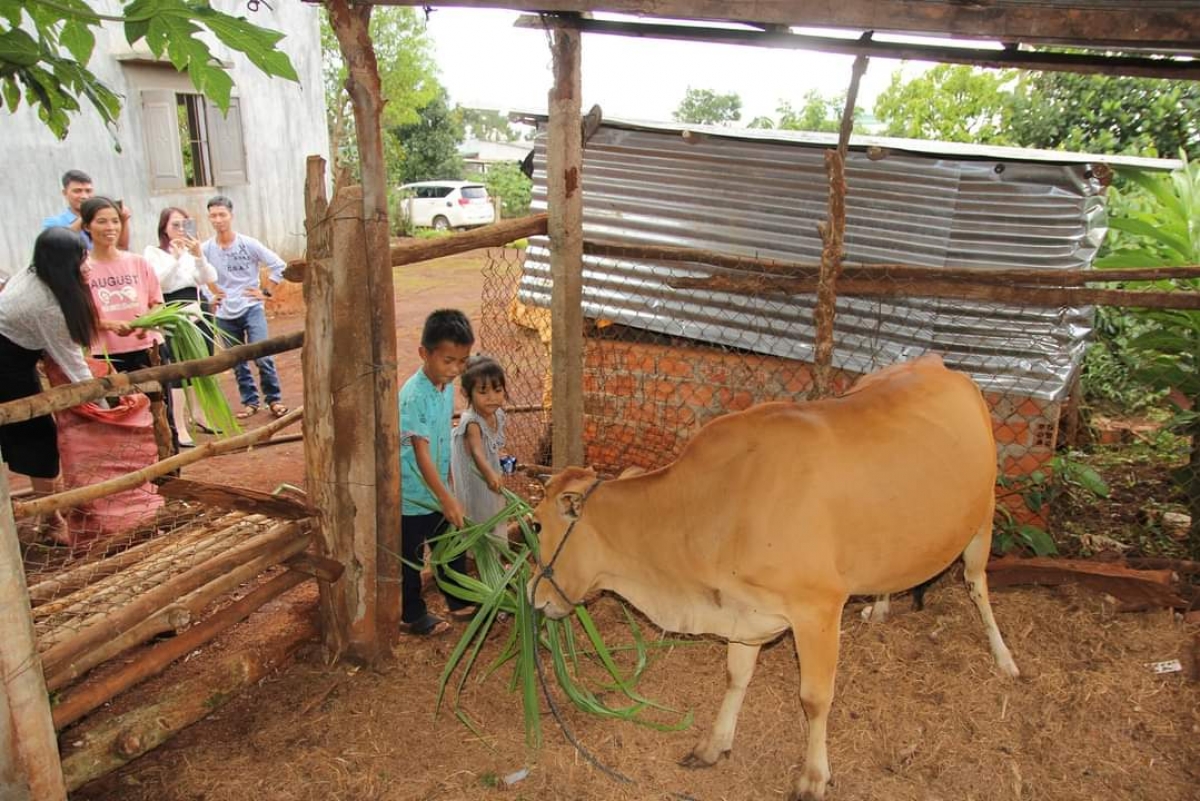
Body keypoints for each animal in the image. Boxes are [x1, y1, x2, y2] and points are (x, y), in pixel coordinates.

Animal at [530, 357, 1017, 801]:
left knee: (977, 585)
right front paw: (714, 744)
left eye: (534, 524)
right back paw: (880, 606)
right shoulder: (742, 609)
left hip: (984, 518)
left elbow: (815, 698)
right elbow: (736, 676)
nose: (534, 596)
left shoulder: (818, 609)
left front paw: (814, 776)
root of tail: (941, 366)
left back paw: (1003, 656)